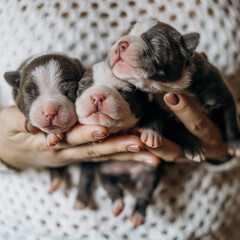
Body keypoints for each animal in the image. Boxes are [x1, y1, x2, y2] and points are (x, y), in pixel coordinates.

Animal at [74, 62, 161, 227]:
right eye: (83, 86)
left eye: (124, 91)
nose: (97, 97)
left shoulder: (153, 107)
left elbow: (156, 118)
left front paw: (151, 134)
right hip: (105, 171)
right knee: (110, 187)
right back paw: (116, 204)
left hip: (149, 171)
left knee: (145, 192)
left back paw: (137, 215)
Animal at [108, 19, 240, 160]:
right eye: (125, 34)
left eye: (155, 41)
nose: (121, 43)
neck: (171, 87)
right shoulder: (166, 112)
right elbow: (179, 131)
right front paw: (194, 149)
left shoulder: (221, 95)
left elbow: (230, 121)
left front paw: (235, 145)